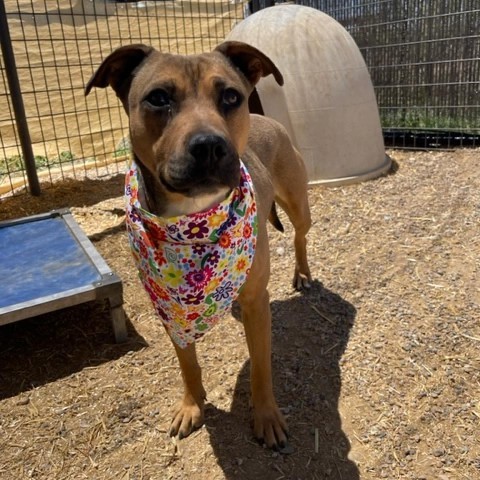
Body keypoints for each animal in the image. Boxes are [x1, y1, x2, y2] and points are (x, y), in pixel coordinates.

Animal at [86, 42, 312, 450]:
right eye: (159, 97)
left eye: (231, 96)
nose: (209, 146)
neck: (193, 222)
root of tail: (266, 119)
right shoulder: (168, 309)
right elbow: (187, 363)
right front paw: (192, 406)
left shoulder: (256, 302)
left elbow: (261, 367)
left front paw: (267, 417)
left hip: (298, 204)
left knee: (300, 235)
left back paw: (302, 273)